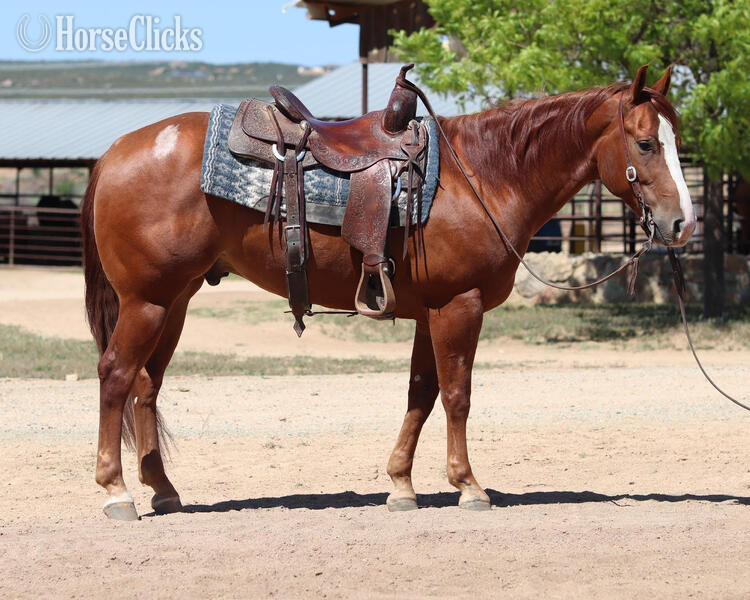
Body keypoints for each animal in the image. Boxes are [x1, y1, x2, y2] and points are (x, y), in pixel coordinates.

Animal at [81, 64, 696, 520]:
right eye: (645, 143)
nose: (683, 224)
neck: (484, 175)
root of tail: (114, 151)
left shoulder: (430, 311)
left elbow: (421, 394)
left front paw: (400, 484)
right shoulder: (459, 306)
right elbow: (457, 396)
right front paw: (469, 486)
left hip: (175, 301)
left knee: (147, 385)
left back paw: (162, 489)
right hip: (148, 302)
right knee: (116, 375)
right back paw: (116, 492)